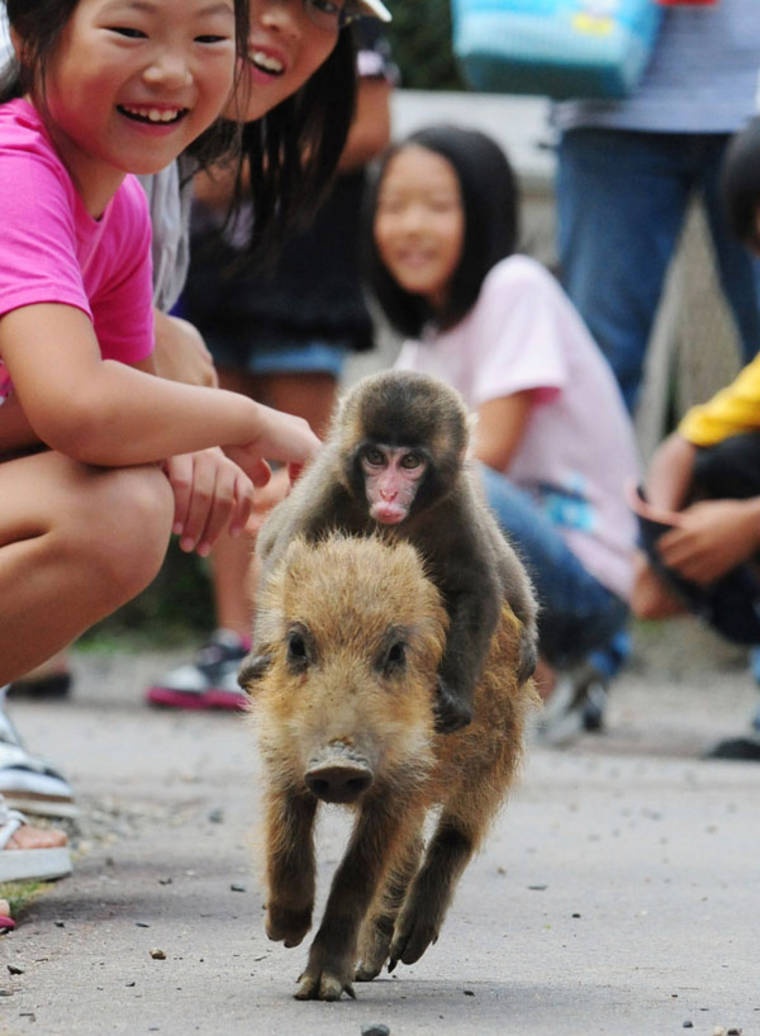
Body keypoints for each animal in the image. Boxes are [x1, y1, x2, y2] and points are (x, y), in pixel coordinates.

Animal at [247, 368, 538, 733]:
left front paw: (455, 692)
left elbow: (478, 589)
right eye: (376, 458)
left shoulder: (456, 501)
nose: (387, 493)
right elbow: (286, 568)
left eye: (410, 462)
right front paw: (262, 656)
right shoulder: (329, 487)